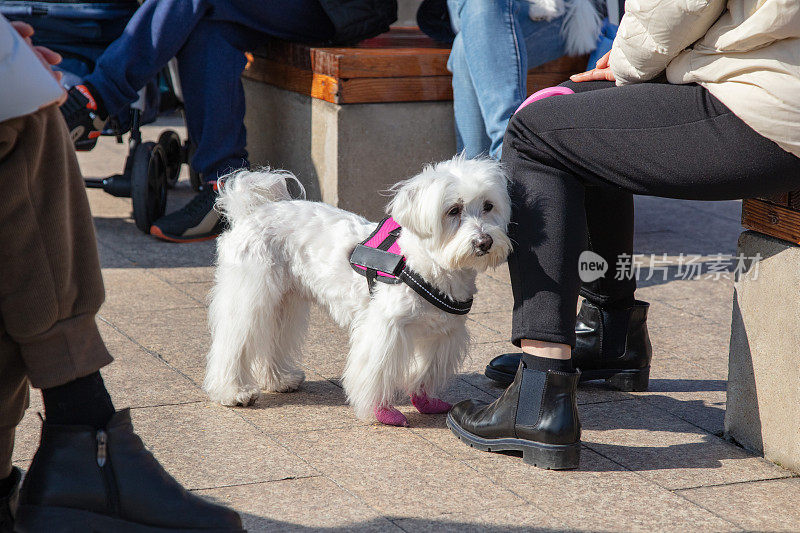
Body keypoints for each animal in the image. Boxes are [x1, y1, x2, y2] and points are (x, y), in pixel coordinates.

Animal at [203, 156, 510, 426]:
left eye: (488, 205)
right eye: (453, 210)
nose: (484, 242)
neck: (425, 265)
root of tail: (252, 211)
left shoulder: (443, 333)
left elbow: (426, 371)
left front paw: (425, 401)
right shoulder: (385, 330)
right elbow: (376, 372)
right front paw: (381, 412)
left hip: (283, 300)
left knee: (272, 338)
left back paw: (279, 379)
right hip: (250, 295)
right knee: (233, 343)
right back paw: (233, 392)